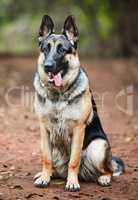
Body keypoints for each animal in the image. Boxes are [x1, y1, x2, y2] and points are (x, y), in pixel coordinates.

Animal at [33, 14, 124, 191]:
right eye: (45, 49)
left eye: (62, 50)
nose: (48, 66)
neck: (58, 95)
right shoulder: (44, 128)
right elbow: (46, 158)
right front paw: (44, 178)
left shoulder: (78, 129)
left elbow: (74, 160)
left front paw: (72, 182)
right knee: (54, 166)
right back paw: (48, 174)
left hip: (98, 146)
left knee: (108, 170)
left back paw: (103, 178)